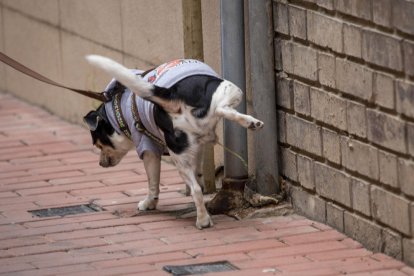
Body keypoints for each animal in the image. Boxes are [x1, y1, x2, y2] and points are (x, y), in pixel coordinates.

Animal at [83, 55, 264, 229]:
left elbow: (153, 183)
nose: (100, 163)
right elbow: (167, 180)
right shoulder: (190, 148)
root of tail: (172, 95)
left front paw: (149, 203)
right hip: (227, 94)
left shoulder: (148, 149)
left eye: (99, 145)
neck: (118, 110)